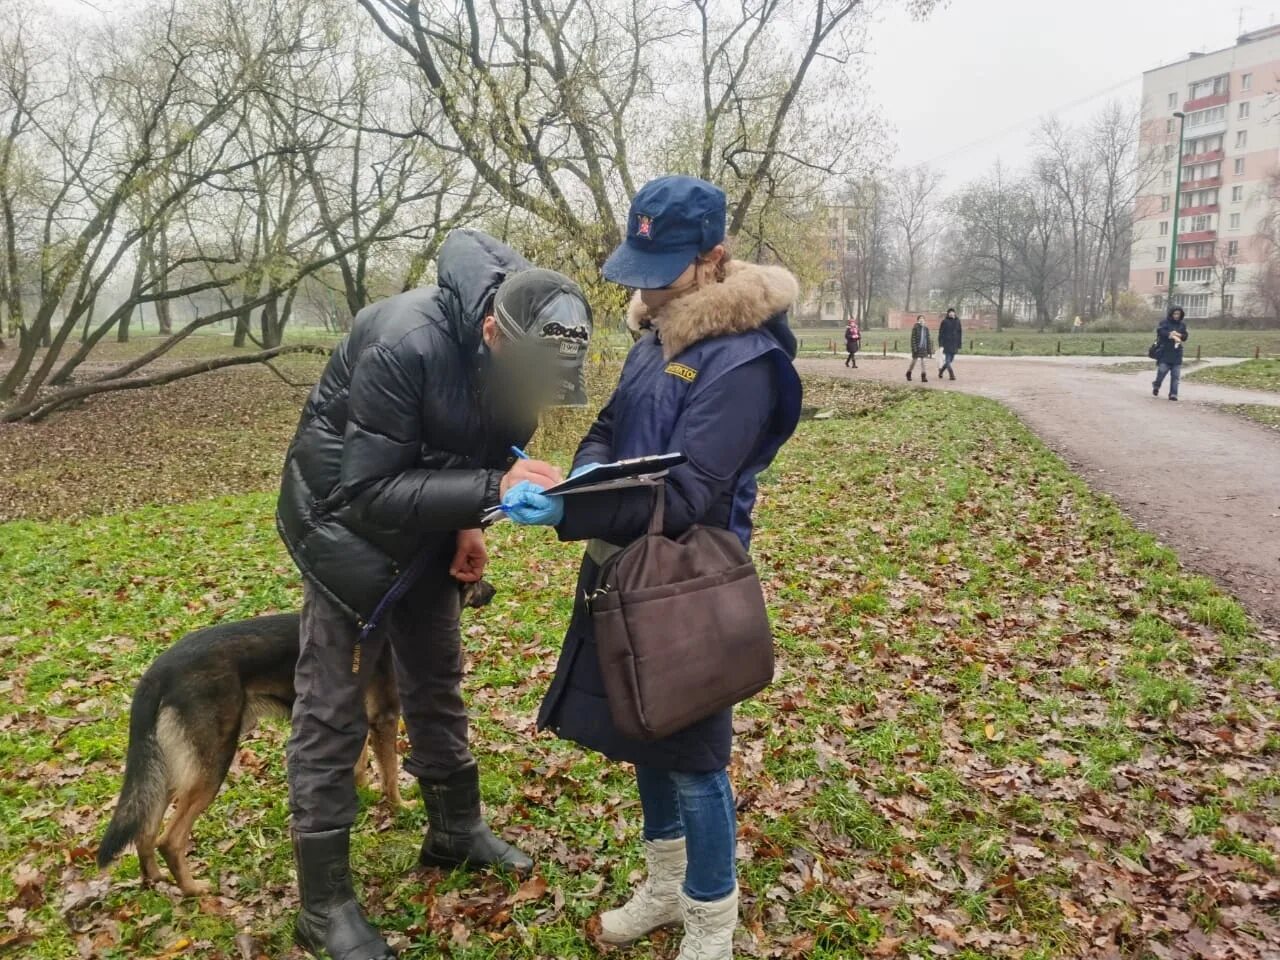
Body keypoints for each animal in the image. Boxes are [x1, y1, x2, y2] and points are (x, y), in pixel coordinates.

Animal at [93, 578, 494, 901]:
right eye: (475, 581)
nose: (492, 589)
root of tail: (157, 672)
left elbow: (360, 764)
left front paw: (359, 793)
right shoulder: (384, 719)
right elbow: (390, 774)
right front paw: (400, 806)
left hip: (170, 768)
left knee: (145, 830)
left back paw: (155, 881)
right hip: (211, 763)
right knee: (169, 839)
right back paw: (193, 889)